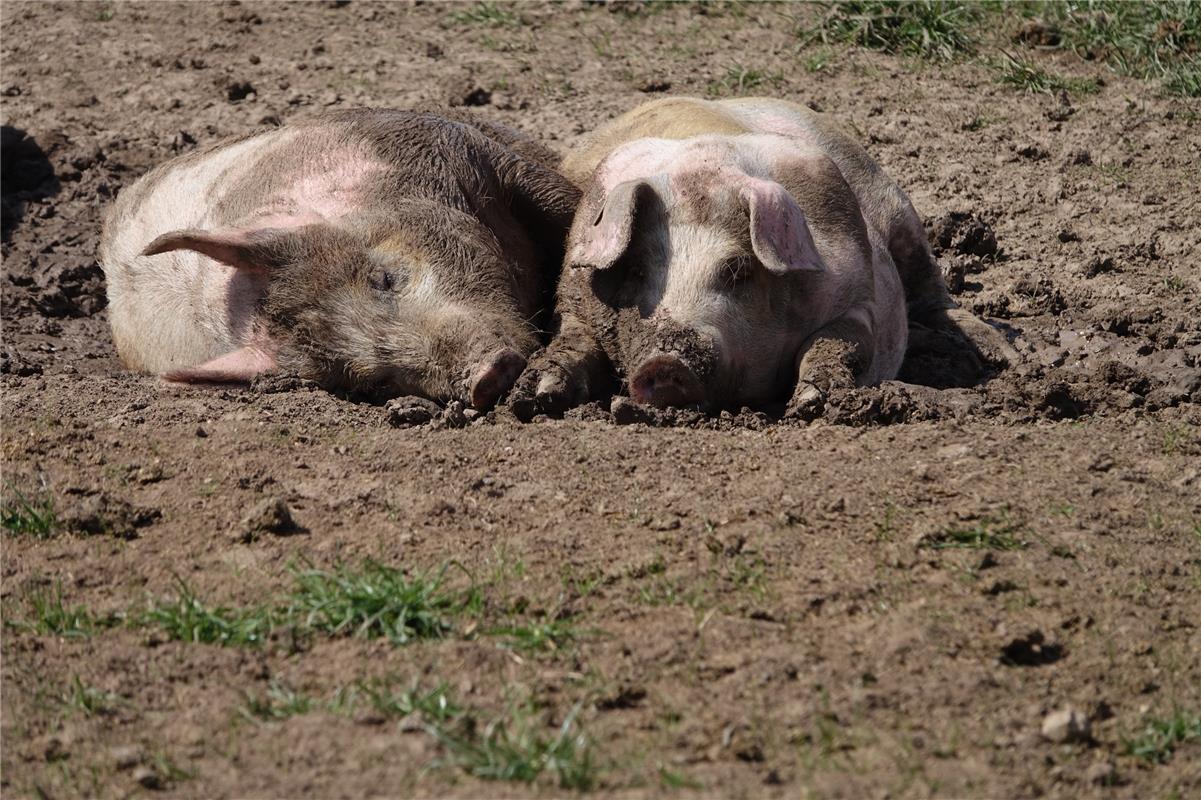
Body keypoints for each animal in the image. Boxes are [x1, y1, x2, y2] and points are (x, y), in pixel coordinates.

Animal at [509, 96, 1013, 413]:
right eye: (635, 270)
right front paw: (536, 397)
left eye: (737, 270)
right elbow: (574, 342)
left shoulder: (860, 293)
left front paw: (811, 403)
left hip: (897, 207)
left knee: (935, 294)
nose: (666, 363)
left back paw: (1004, 356)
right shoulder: (572, 299)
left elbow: (838, 344)